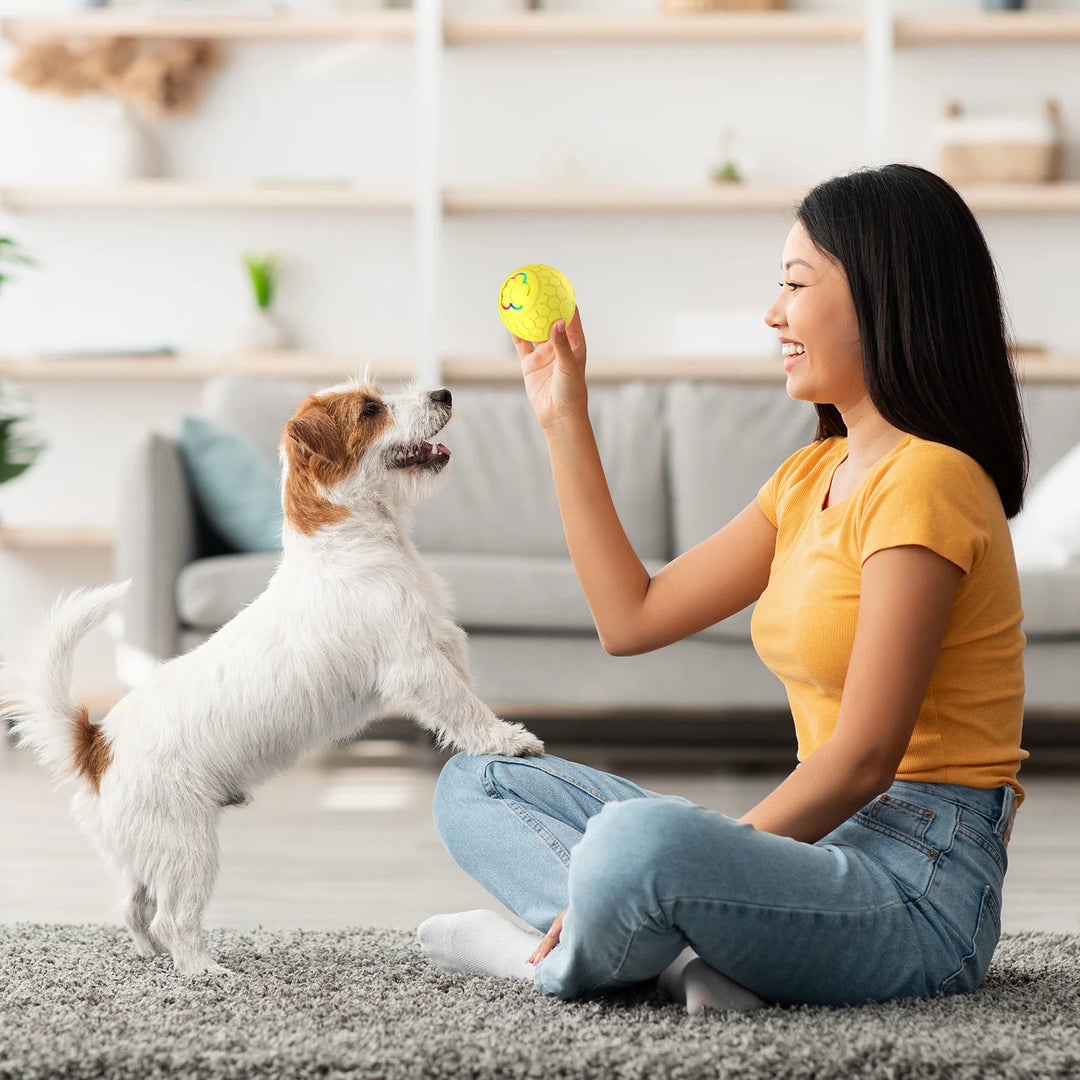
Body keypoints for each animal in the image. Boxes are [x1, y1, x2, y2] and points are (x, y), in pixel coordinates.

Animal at [0, 382, 540, 980]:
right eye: (371, 410)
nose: (443, 392)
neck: (351, 540)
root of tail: (97, 744)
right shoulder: (419, 665)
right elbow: (464, 708)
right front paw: (509, 740)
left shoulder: (444, 646)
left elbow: (469, 697)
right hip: (189, 848)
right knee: (172, 917)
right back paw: (203, 971)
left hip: (147, 851)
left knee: (134, 908)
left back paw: (152, 956)